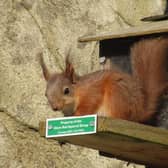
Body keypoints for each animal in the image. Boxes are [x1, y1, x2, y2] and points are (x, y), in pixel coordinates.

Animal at [39, 37, 168, 122]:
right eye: (45, 94)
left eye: (66, 90)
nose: (55, 107)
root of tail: (138, 112)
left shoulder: (91, 92)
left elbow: (89, 104)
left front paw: (77, 114)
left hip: (116, 94)